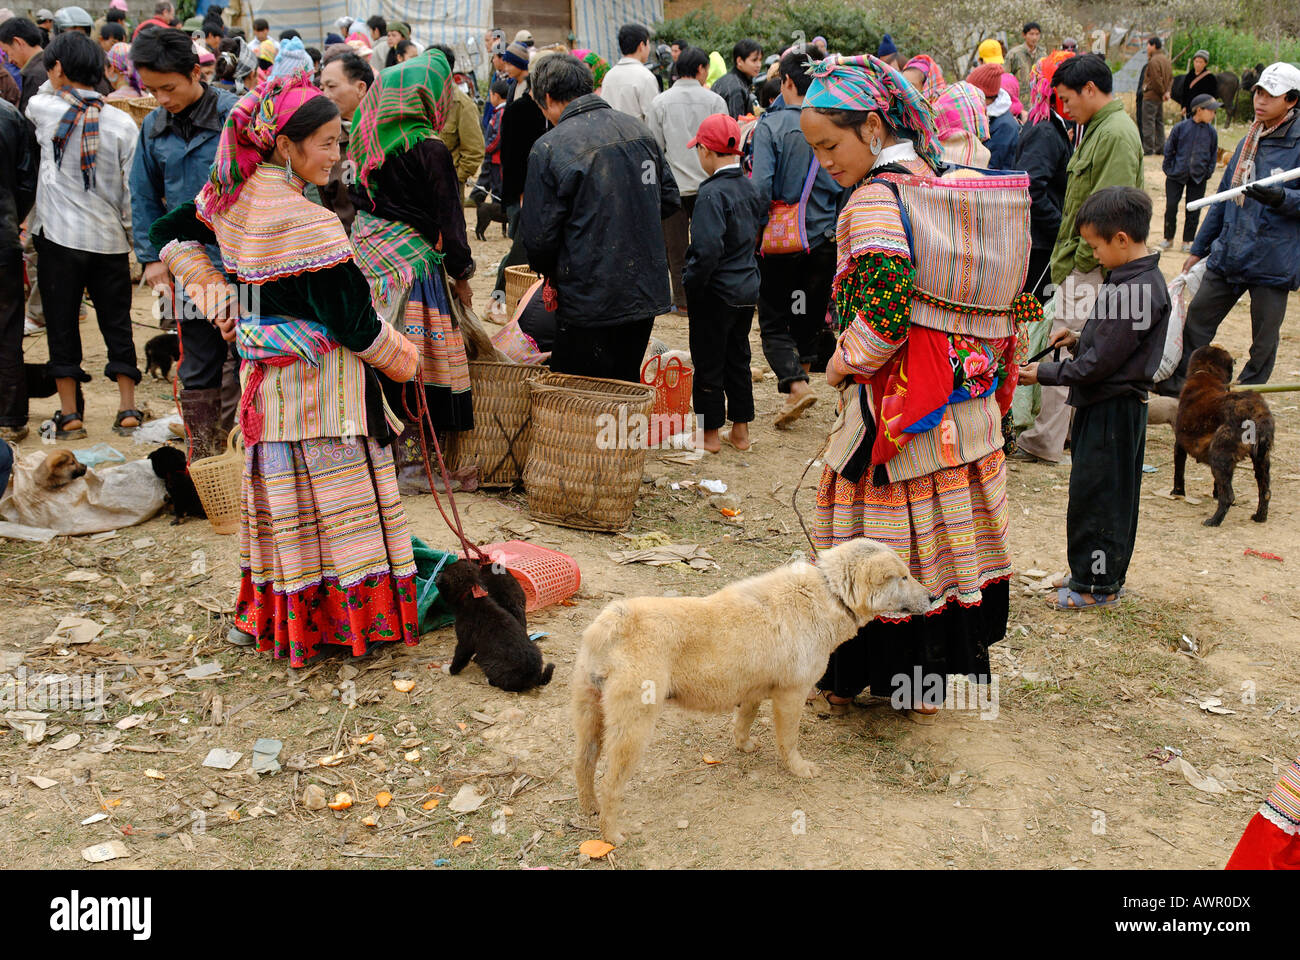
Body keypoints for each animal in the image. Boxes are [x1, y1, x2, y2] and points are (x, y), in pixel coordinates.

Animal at [436, 556, 553, 692]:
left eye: (446, 571)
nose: (437, 574)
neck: (473, 599)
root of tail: (535, 677)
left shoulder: (465, 642)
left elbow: (459, 658)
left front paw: (448, 670)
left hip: (492, 664)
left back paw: (488, 680)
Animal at [572, 538, 935, 842]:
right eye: (903, 577)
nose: (933, 597)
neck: (829, 592)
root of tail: (613, 622)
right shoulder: (791, 695)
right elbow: (789, 741)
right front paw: (799, 769)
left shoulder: (754, 691)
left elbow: (743, 722)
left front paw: (744, 746)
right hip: (634, 728)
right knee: (611, 784)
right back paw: (611, 835)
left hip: (589, 717)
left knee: (583, 765)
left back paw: (589, 808)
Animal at [1170, 343, 1268, 522]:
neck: (1206, 374)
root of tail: (1255, 412)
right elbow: (1219, 483)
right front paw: (1215, 493)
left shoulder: (1179, 445)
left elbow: (1179, 472)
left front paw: (1177, 492)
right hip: (1261, 459)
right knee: (1265, 493)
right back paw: (1260, 516)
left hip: (1218, 455)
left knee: (1228, 497)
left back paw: (1213, 521)